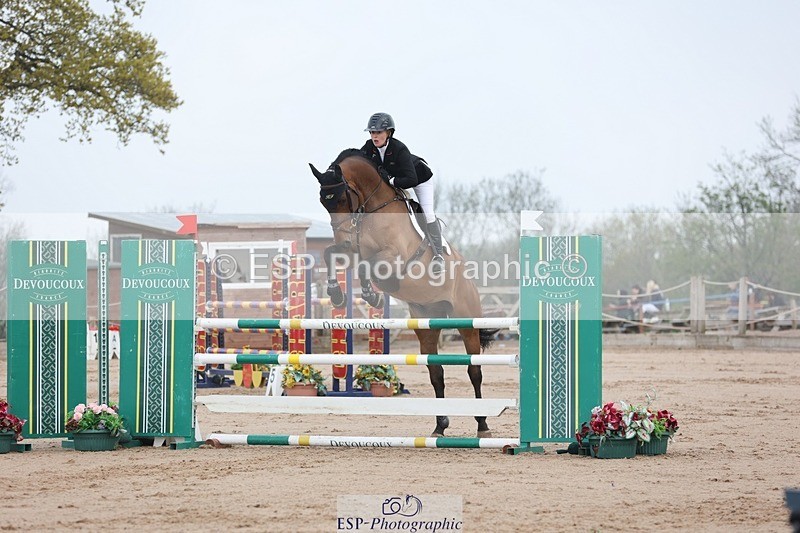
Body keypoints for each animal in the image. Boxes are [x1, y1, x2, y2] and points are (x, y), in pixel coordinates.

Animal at [309, 149, 495, 438]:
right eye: (323, 202)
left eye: (341, 198)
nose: (345, 238)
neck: (372, 209)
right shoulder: (352, 249)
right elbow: (333, 254)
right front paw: (338, 294)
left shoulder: (391, 258)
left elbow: (367, 264)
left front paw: (371, 295)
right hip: (426, 324)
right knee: (436, 373)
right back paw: (439, 426)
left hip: (467, 322)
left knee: (474, 370)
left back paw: (482, 424)